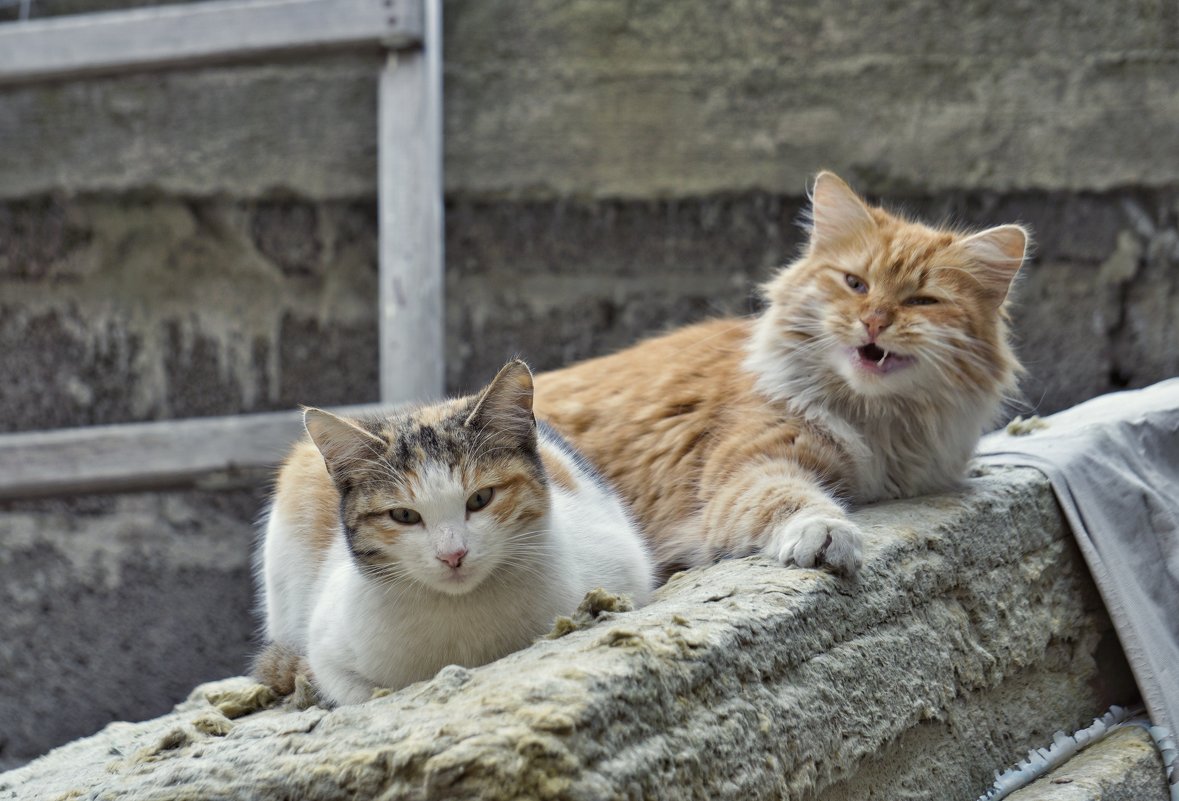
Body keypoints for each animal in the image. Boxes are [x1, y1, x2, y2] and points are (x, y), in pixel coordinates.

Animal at [535, 172, 1023, 580]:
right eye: (856, 284)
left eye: (922, 301)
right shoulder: (752, 466)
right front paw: (826, 534)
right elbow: (788, 499)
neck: (877, 421)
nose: (874, 321)